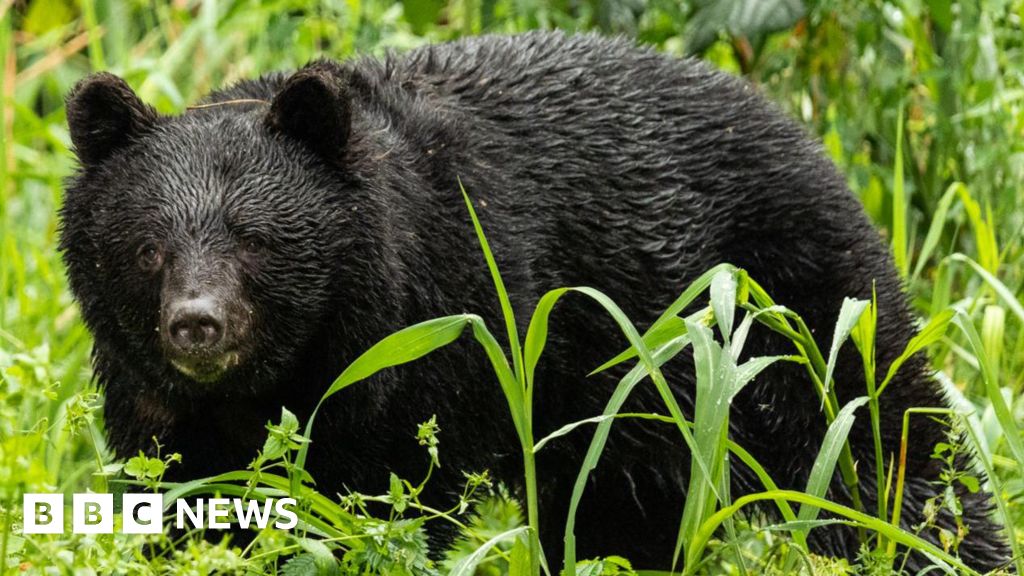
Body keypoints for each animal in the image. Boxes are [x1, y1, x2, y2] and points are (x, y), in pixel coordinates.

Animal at [60, 31, 1008, 572]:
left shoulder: (441, 337)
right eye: (147, 247)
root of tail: (802, 131)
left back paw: (954, 552)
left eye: (255, 240)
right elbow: (191, 499)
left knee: (887, 446)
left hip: (790, 304)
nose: (197, 326)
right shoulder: (163, 407)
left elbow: (390, 498)